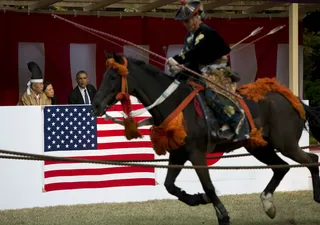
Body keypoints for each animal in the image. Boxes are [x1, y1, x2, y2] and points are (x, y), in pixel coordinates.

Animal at [91, 52, 320, 225]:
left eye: (113, 77)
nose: (95, 105)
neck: (175, 103)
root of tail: (293, 99)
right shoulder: (178, 154)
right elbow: (169, 185)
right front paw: (196, 199)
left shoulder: (196, 153)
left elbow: (208, 185)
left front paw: (223, 215)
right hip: (259, 147)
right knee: (282, 167)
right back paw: (268, 203)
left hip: (286, 144)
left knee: (311, 160)